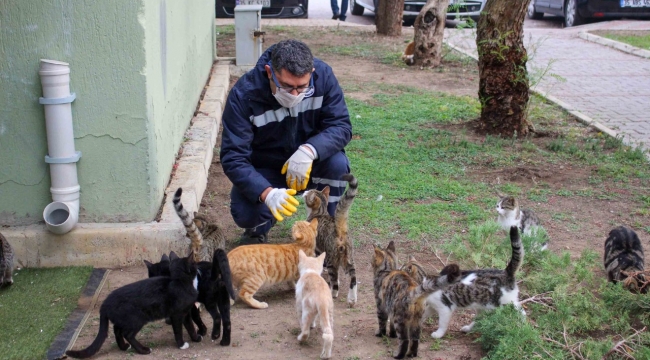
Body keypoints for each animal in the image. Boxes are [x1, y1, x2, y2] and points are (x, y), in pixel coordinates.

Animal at [65, 253, 200, 358]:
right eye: (194, 264)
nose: (198, 267)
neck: (180, 282)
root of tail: (105, 303)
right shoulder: (176, 314)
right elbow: (178, 330)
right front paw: (181, 345)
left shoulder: (186, 312)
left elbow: (190, 326)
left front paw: (195, 338)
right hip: (137, 319)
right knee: (127, 334)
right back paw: (143, 350)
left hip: (124, 319)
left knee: (117, 329)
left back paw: (123, 346)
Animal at [302, 174, 356, 306]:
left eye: (308, 194)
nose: (304, 191)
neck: (320, 213)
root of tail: (339, 229)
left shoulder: (317, 248)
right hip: (348, 259)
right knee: (353, 278)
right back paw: (352, 298)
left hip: (333, 259)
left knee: (335, 283)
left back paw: (332, 293)